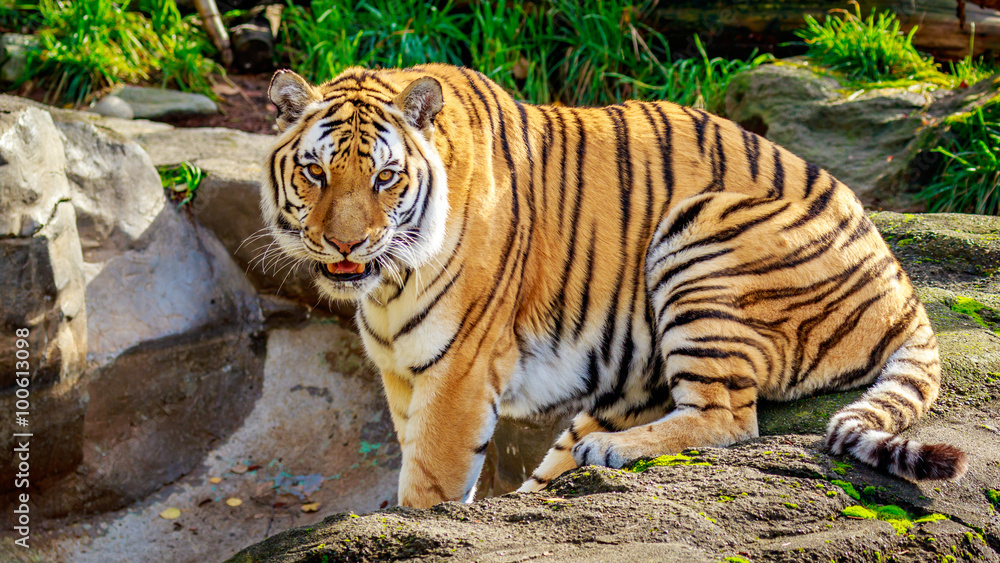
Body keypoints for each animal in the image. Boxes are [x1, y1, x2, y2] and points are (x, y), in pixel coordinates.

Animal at [261, 62, 968, 509]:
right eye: (315, 172)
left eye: (385, 178)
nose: (346, 245)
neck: (385, 287)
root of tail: (904, 291)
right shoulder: (402, 374)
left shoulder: (458, 372)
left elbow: (427, 484)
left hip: (701, 235)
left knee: (731, 419)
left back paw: (611, 452)